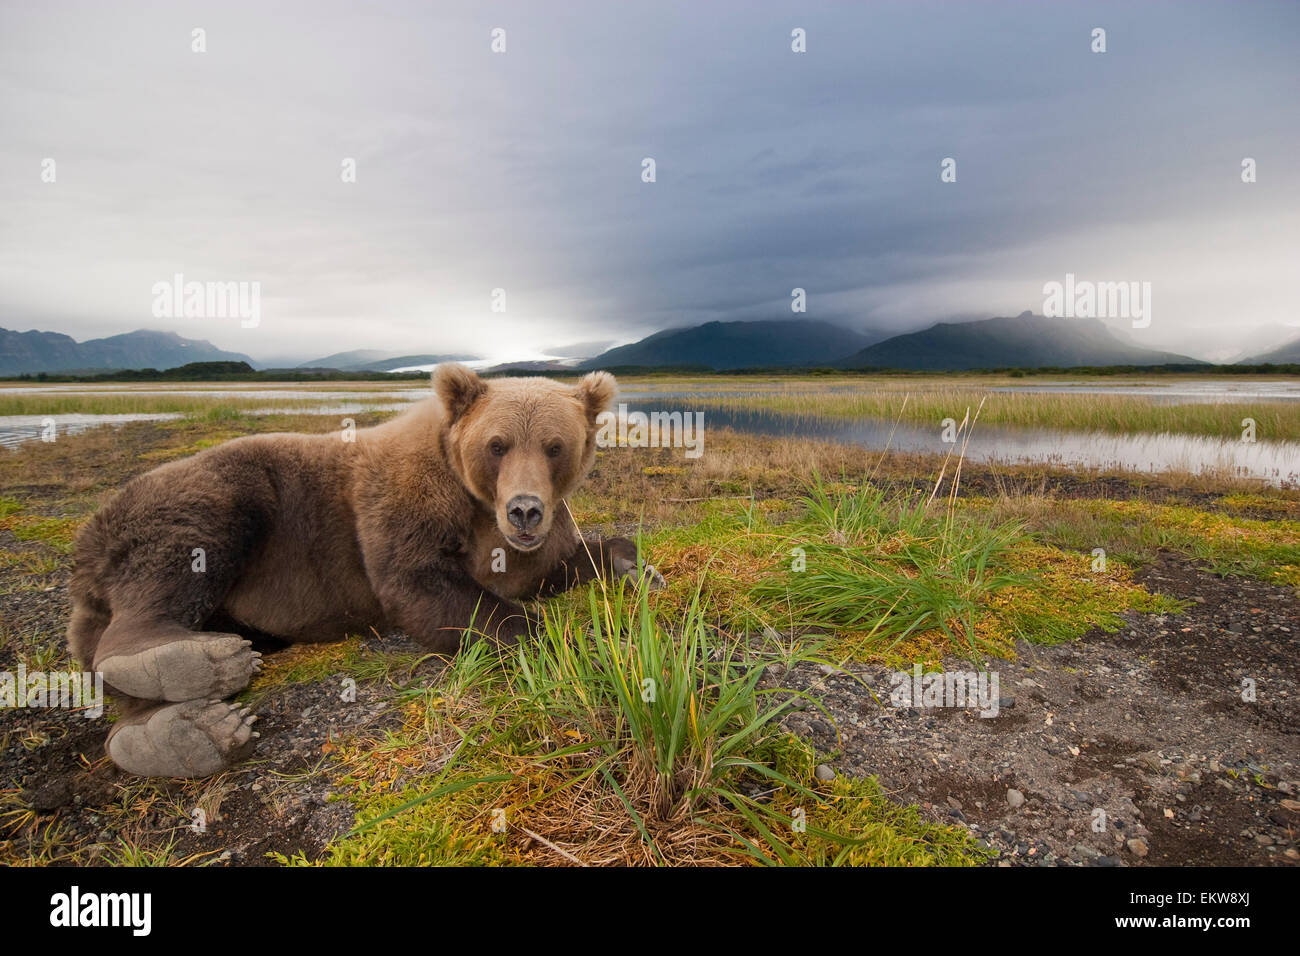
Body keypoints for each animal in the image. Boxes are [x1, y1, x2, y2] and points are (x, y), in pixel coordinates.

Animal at [66, 364, 660, 778]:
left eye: (555, 446)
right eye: (498, 444)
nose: (524, 509)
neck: (479, 508)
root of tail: (87, 556)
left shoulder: (520, 544)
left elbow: (553, 565)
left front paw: (636, 566)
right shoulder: (408, 499)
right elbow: (422, 585)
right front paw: (564, 643)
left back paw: (184, 733)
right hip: (207, 496)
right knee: (190, 542)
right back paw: (191, 664)